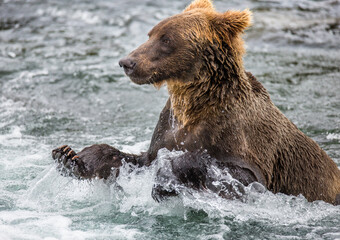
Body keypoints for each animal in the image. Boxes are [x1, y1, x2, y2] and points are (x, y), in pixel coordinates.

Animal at [51, 0, 340, 204]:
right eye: (150, 33)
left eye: (166, 38)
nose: (127, 62)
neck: (194, 104)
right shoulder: (167, 129)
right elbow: (137, 160)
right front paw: (70, 156)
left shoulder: (244, 142)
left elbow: (239, 174)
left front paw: (165, 180)